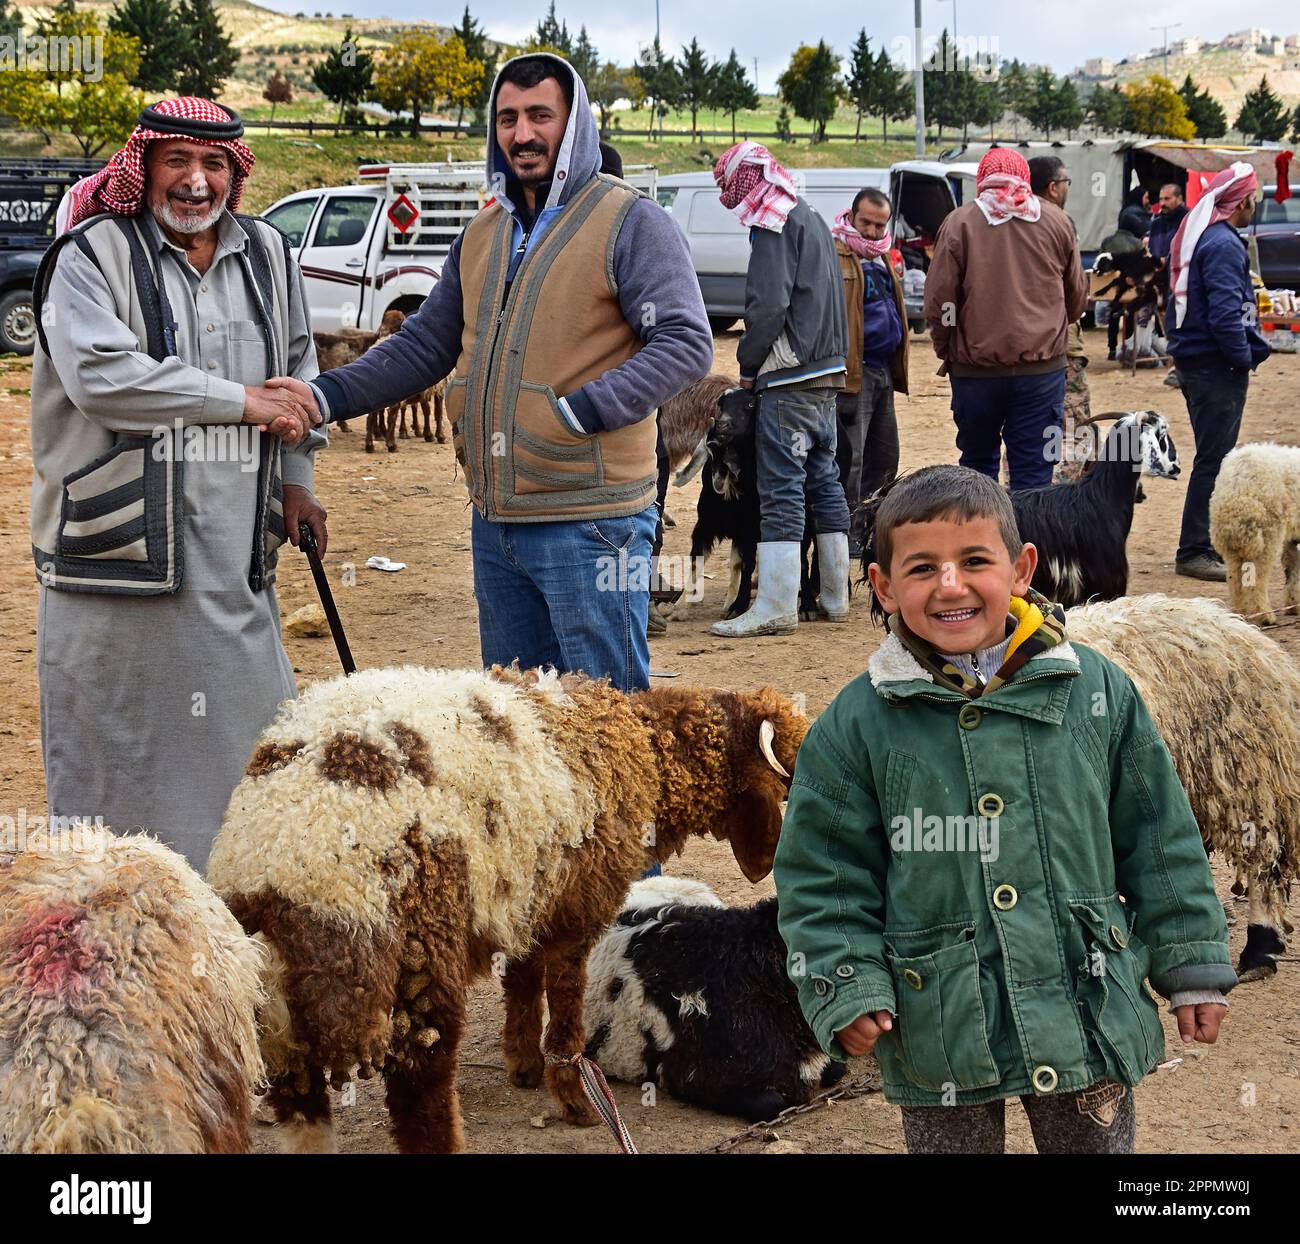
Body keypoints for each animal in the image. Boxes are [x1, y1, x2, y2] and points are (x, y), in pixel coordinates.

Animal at [208, 665, 806, 1149]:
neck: (637, 746)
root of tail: (273, 871)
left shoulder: (528, 891)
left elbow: (521, 976)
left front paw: (522, 1064)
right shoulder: (578, 907)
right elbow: (563, 1007)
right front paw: (575, 1099)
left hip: (289, 1021)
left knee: (305, 1114)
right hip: (416, 969)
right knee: (421, 1100)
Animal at [1206, 441, 1300, 626]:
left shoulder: (1292, 538)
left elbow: (1293, 567)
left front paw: (1294, 605)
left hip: (1232, 539)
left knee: (1235, 578)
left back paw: (1239, 612)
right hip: (1266, 534)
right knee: (1258, 579)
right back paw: (1265, 616)